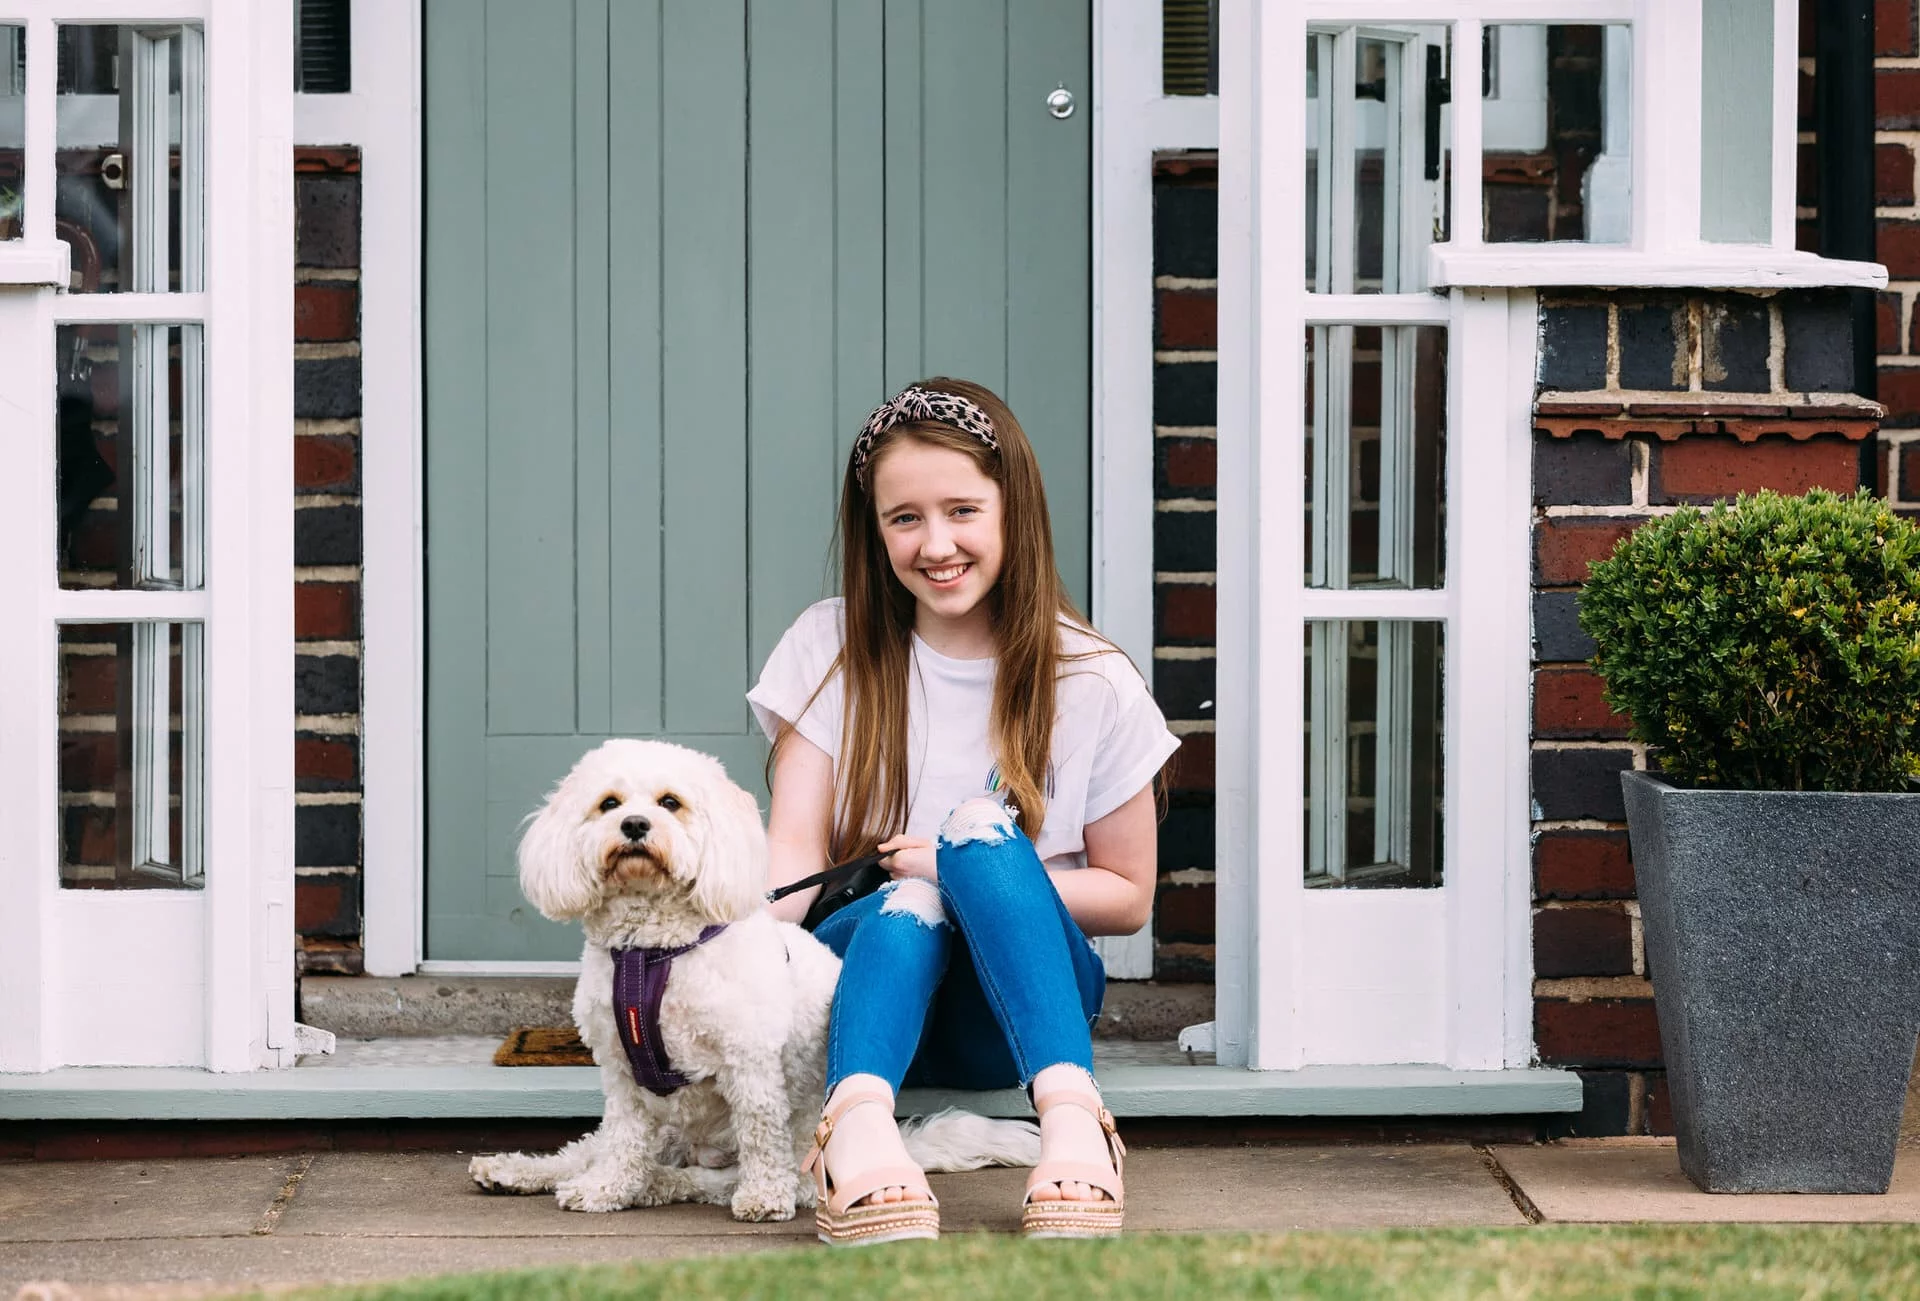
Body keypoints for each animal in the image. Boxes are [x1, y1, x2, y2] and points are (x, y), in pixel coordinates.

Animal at [468, 744, 1036, 1220]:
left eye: (670, 802)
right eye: (609, 803)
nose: (633, 824)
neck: (652, 953)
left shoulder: (749, 1060)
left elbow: (761, 1133)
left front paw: (763, 1198)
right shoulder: (622, 1074)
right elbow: (623, 1139)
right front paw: (605, 1188)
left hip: (795, 1154)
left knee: (708, 1181)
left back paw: (660, 1184)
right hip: (665, 1123)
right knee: (591, 1149)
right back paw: (517, 1170)